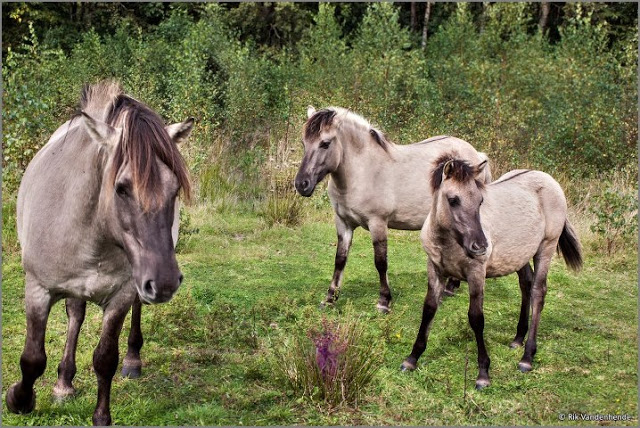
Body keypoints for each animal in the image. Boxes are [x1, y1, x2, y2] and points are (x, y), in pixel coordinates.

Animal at [6, 80, 192, 424]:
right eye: (121, 188)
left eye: (174, 189)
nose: (165, 283)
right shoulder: (37, 289)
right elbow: (33, 357)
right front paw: (19, 399)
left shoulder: (122, 294)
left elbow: (105, 359)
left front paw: (102, 417)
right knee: (75, 315)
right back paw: (64, 381)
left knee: (135, 311)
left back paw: (133, 360)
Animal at [296, 105, 490, 312]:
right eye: (304, 142)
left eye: (325, 143)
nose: (301, 184)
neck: (364, 171)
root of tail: (477, 156)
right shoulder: (343, 223)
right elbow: (340, 259)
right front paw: (330, 298)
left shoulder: (378, 223)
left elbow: (381, 262)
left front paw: (384, 301)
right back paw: (450, 287)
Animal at [402, 159, 584, 390]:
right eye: (453, 200)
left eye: (480, 201)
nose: (480, 246)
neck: (448, 242)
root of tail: (549, 180)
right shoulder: (435, 270)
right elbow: (429, 309)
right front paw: (412, 358)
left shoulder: (476, 275)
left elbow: (476, 318)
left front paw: (483, 373)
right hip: (519, 256)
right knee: (526, 284)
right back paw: (518, 338)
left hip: (546, 247)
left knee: (538, 291)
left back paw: (527, 357)